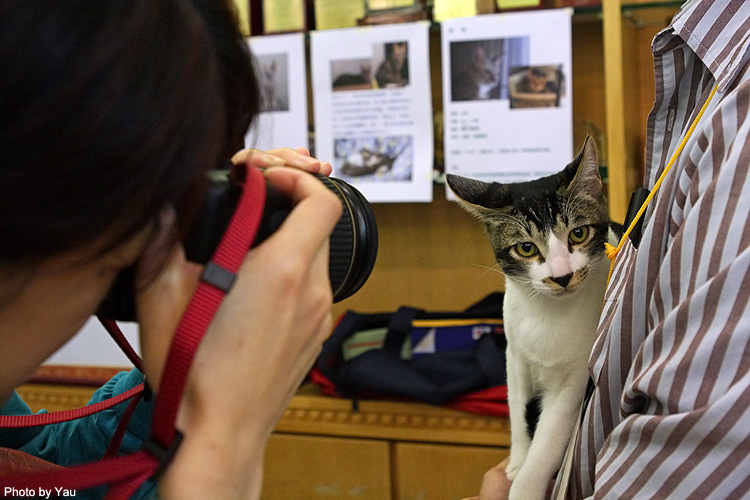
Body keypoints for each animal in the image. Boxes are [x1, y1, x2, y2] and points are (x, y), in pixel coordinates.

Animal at [446, 137, 621, 500]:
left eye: (578, 234)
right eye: (526, 248)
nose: (562, 276)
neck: (548, 311)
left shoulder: (575, 378)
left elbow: (549, 440)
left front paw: (524, 483)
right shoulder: (514, 356)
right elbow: (516, 408)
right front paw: (517, 460)